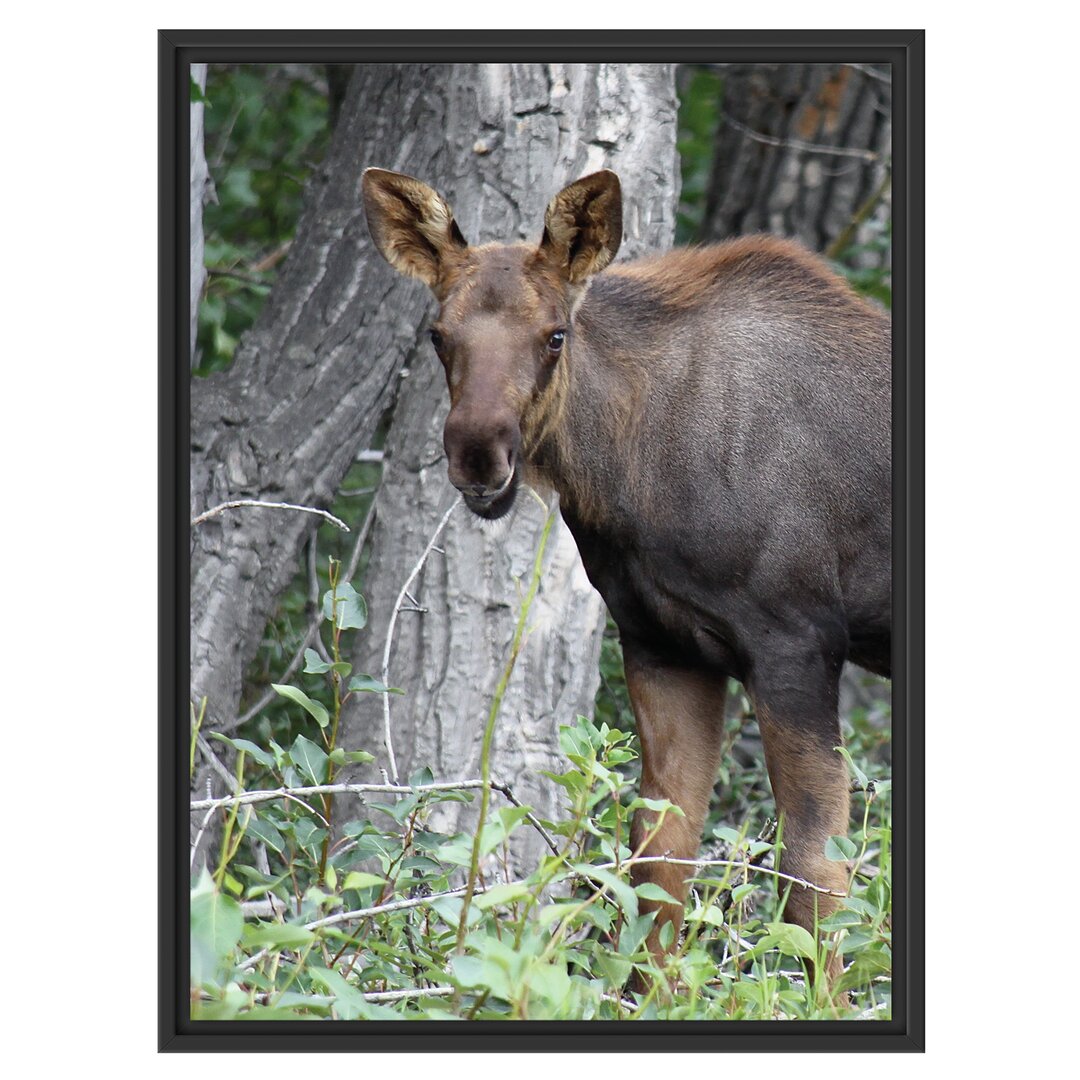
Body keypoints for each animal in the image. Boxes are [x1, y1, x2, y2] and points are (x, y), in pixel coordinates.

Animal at [358, 164, 889, 989]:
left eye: (555, 334)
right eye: (438, 335)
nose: (480, 456)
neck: (627, 475)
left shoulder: (798, 642)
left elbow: (814, 879)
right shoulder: (662, 643)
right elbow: (655, 865)